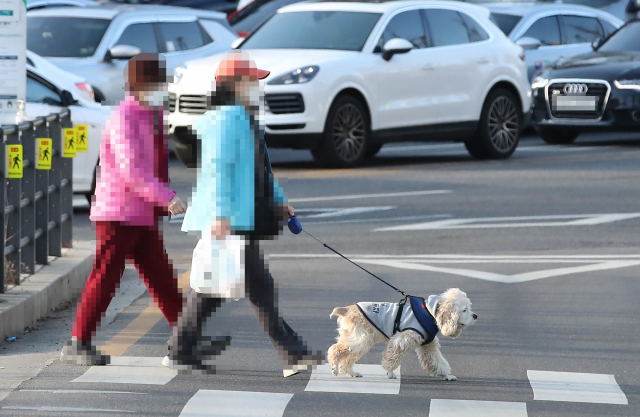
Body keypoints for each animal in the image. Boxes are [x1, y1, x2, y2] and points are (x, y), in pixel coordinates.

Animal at [330, 288, 476, 378]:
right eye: (464, 310)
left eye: (469, 308)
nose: (476, 316)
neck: (430, 313)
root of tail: (346, 309)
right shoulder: (400, 340)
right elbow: (392, 358)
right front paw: (390, 373)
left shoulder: (428, 346)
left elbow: (438, 361)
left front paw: (447, 375)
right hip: (361, 339)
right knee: (335, 349)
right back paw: (334, 368)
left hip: (360, 340)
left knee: (347, 358)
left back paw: (352, 372)